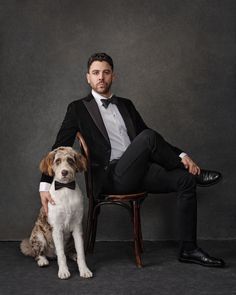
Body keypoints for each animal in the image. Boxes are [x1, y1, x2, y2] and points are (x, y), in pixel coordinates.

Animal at [20, 147, 92, 280]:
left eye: (70, 160)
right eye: (57, 161)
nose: (64, 172)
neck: (66, 188)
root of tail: (51, 255)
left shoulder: (77, 227)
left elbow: (81, 253)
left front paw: (84, 270)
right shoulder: (57, 228)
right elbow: (61, 254)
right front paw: (63, 271)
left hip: (70, 239)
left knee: (68, 251)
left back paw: (73, 255)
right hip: (38, 237)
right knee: (38, 253)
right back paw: (42, 260)